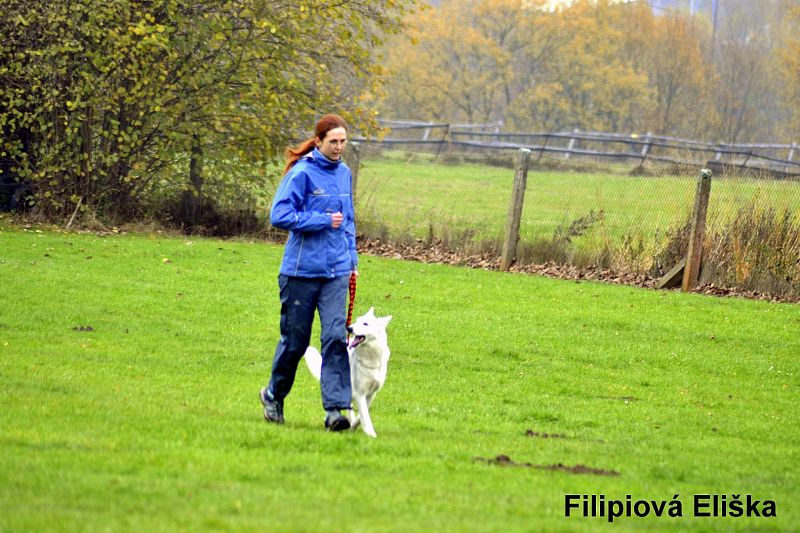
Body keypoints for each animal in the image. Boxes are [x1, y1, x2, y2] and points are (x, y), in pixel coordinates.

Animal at [304, 308, 392, 436]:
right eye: (357, 321)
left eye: (365, 323)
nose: (349, 328)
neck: (370, 358)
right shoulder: (360, 393)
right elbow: (365, 415)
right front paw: (371, 434)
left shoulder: (371, 394)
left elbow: (362, 414)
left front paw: (355, 426)